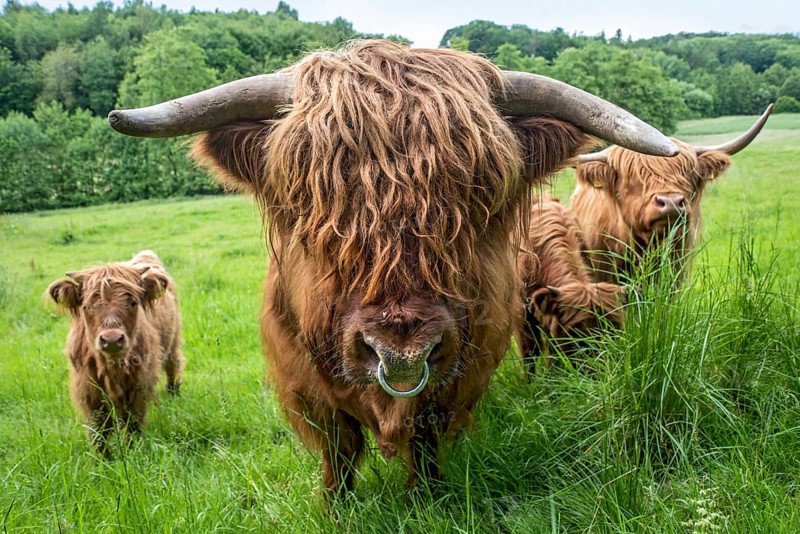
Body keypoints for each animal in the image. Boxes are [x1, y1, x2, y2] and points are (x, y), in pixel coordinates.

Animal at [47, 251, 184, 456]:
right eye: (87, 306)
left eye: (133, 303)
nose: (111, 339)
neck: (112, 368)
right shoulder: (88, 390)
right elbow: (98, 430)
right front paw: (103, 460)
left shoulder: (137, 386)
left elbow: (133, 423)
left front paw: (133, 452)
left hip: (173, 341)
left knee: (173, 365)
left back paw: (173, 393)